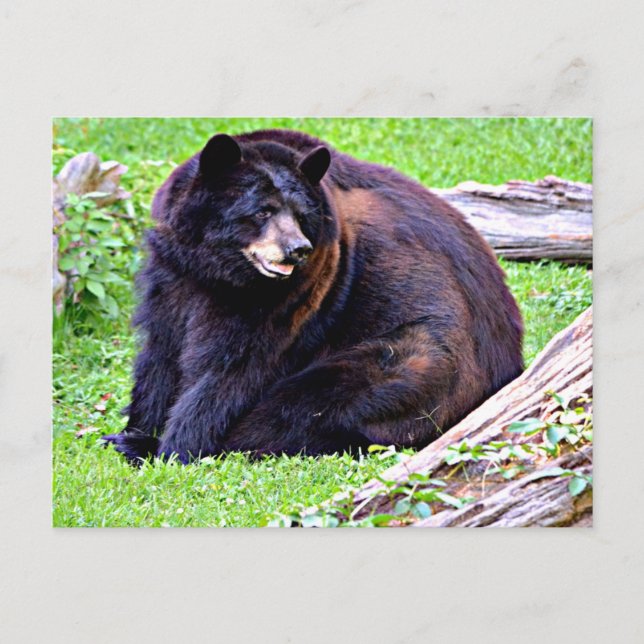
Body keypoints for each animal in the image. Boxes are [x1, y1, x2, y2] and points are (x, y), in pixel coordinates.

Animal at [104, 129, 523, 464]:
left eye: (301, 214)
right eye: (262, 211)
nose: (297, 249)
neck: (221, 272)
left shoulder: (302, 290)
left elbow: (229, 368)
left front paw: (170, 446)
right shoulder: (173, 273)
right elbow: (162, 351)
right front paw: (138, 429)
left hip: (420, 362)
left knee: (310, 402)